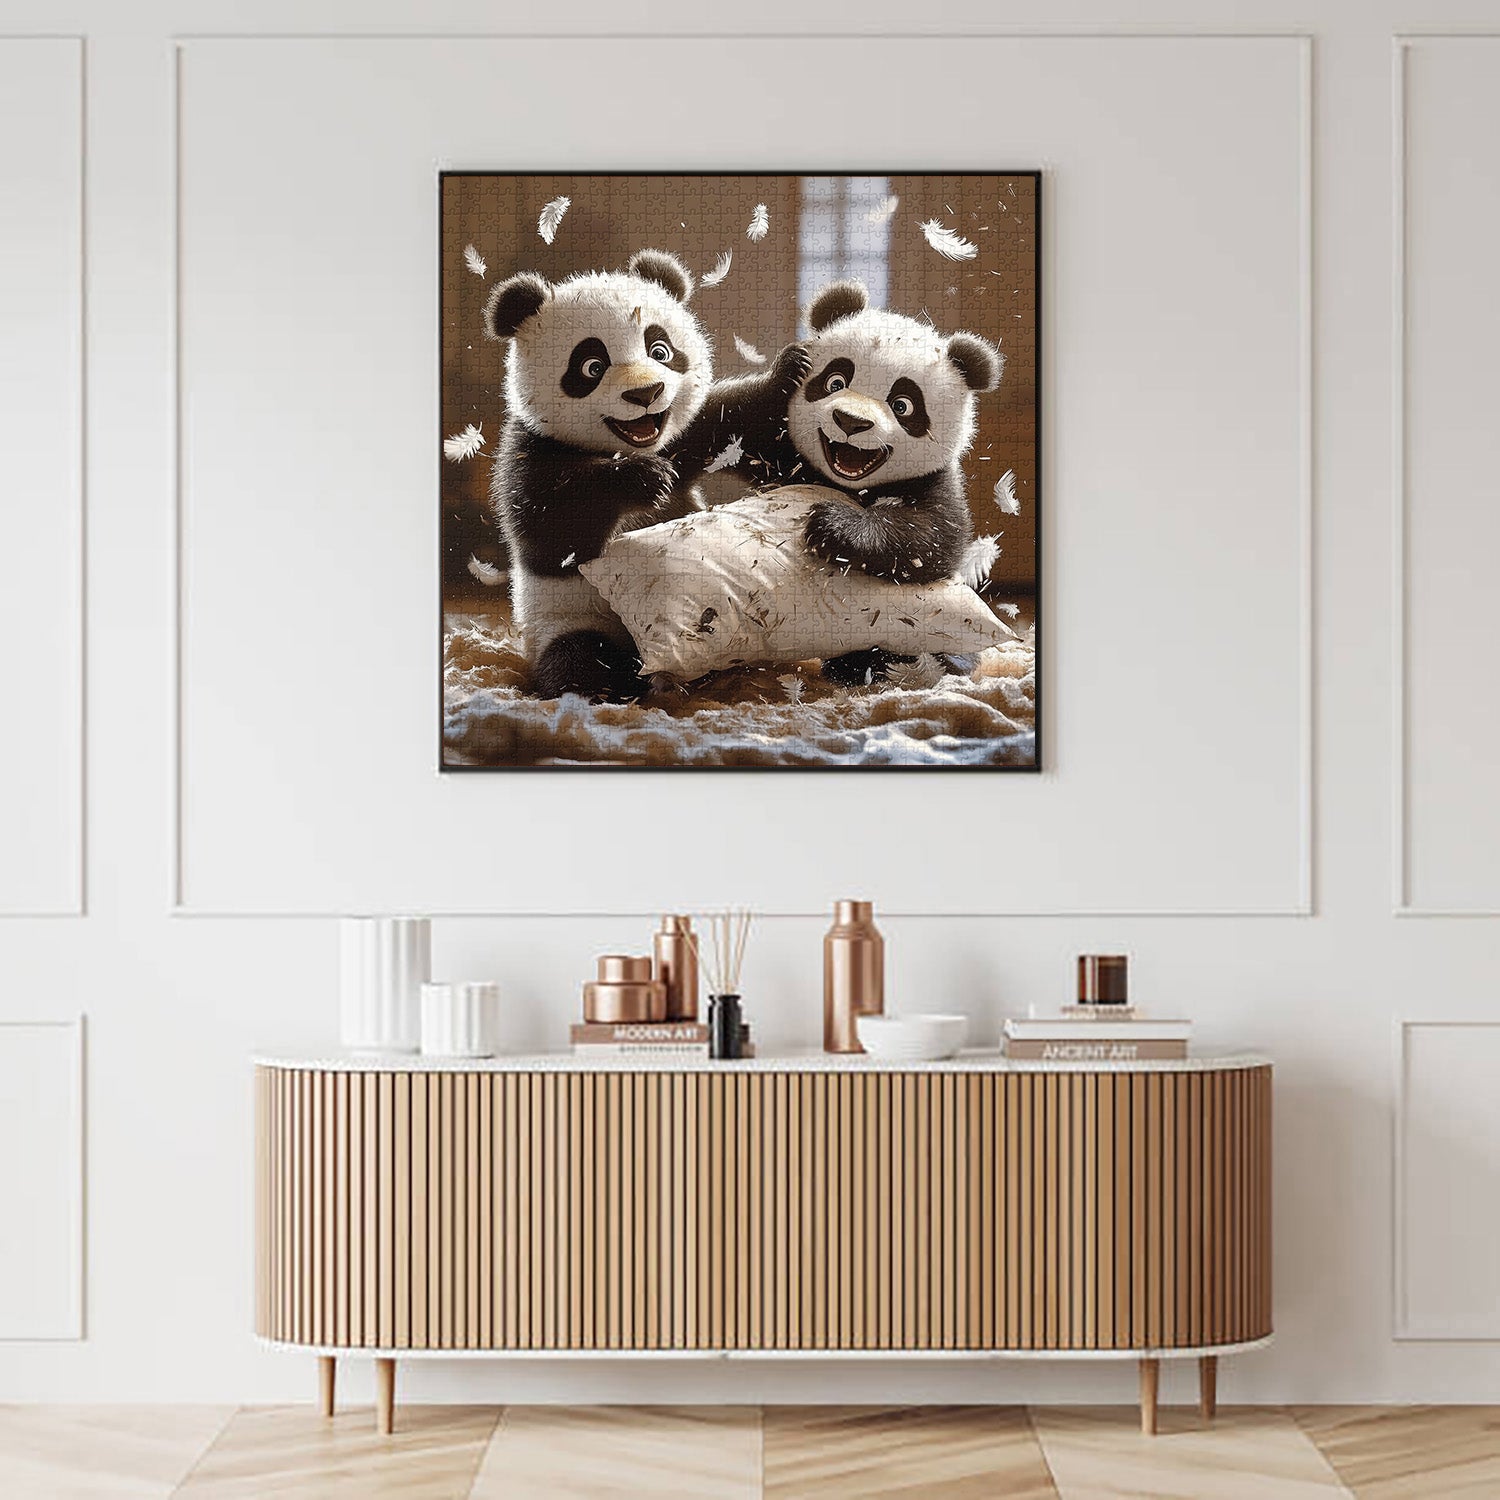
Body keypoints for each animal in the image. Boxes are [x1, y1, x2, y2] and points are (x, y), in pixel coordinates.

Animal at [482, 249, 712, 702]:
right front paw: (643, 480)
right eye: (591, 366)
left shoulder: (687, 440)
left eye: (660, 350)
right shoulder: (531, 448)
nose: (645, 394)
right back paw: (611, 687)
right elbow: (554, 529)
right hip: (566, 621)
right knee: (579, 656)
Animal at [694, 279, 1004, 685]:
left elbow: (932, 540)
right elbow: (722, 416)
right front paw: (789, 369)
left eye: (903, 405)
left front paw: (833, 527)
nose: (851, 422)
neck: (846, 483)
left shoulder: (932, 479)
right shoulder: (779, 445)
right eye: (835, 381)